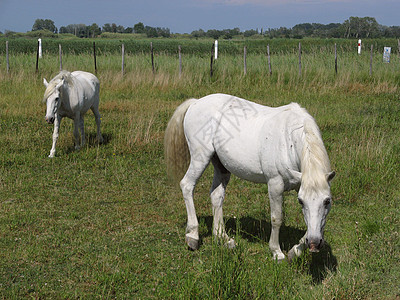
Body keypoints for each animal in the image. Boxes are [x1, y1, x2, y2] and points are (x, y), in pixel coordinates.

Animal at [164, 93, 336, 260]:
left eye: (327, 201)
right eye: (300, 201)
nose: (314, 244)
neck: (289, 140)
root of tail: (195, 102)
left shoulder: (301, 183)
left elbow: (315, 224)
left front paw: (295, 251)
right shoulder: (275, 184)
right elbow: (276, 218)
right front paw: (276, 252)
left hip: (220, 166)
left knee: (216, 196)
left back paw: (223, 238)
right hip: (200, 157)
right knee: (187, 185)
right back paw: (193, 236)